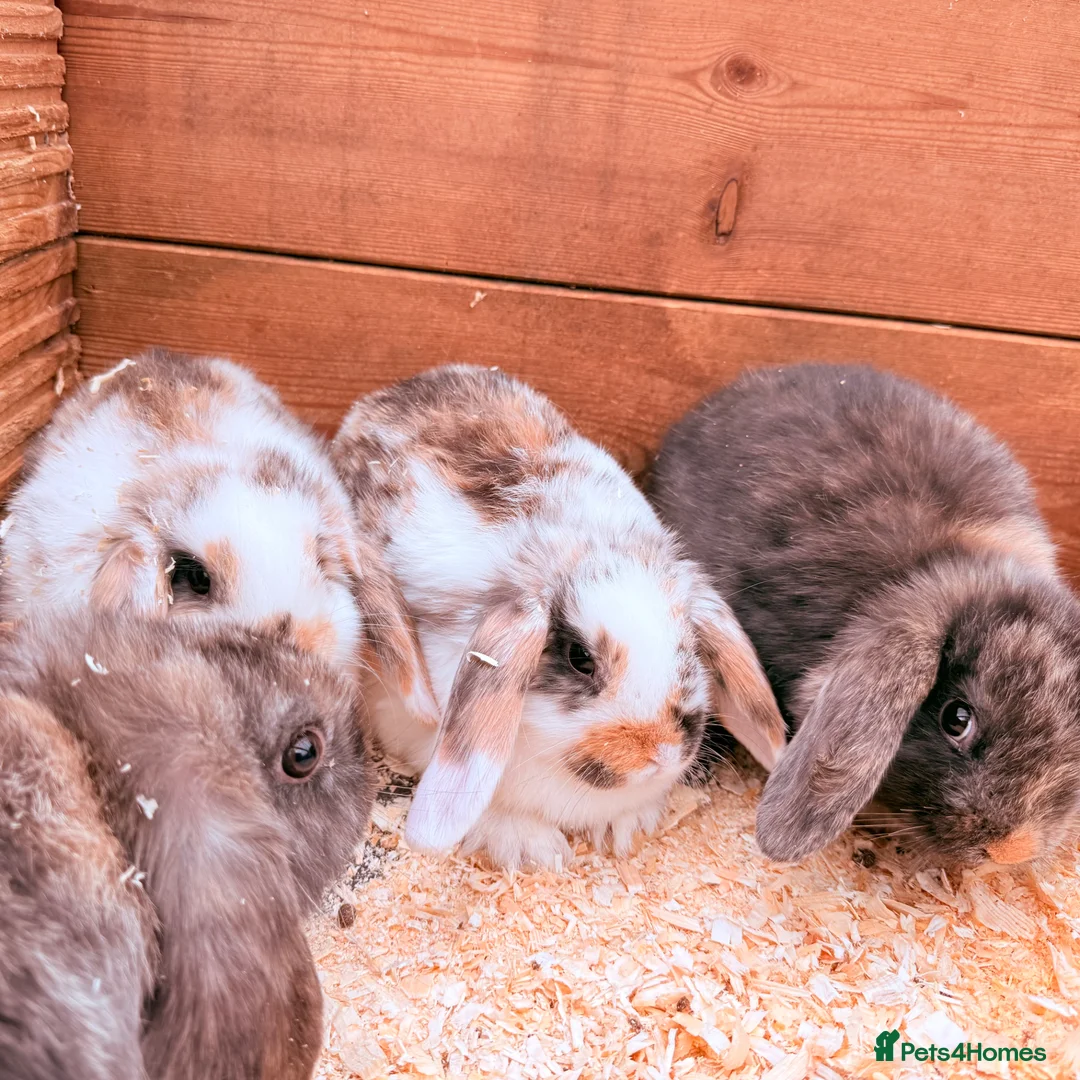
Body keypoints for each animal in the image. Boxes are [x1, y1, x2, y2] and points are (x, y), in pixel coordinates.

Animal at [332, 364, 785, 871]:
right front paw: (536, 850)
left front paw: (624, 828)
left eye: (689, 649)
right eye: (579, 658)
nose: (662, 752)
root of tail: (386, 393)